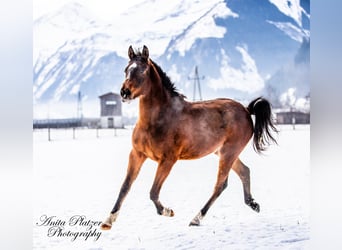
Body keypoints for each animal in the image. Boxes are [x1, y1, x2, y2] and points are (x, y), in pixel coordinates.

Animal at [101, 45, 278, 229]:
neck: (158, 119)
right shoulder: (137, 154)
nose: (124, 93)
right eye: (126, 70)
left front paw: (167, 211)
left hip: (229, 153)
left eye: (143, 70)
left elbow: (153, 192)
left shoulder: (168, 160)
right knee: (244, 172)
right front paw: (108, 220)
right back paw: (253, 204)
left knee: (220, 185)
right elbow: (125, 187)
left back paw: (196, 218)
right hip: (223, 152)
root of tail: (246, 110)